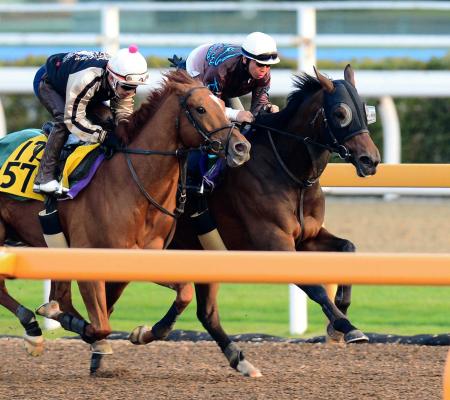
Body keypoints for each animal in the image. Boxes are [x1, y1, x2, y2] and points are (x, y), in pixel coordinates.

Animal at [0, 69, 251, 360]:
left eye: (222, 105)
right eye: (200, 109)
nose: (241, 147)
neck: (131, 184)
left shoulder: (141, 256)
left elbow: (184, 292)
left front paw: (146, 332)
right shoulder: (89, 257)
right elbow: (101, 325)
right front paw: (82, 331)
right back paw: (32, 328)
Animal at [118, 64, 380, 376]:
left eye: (365, 110)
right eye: (340, 113)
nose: (370, 160)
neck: (287, 169)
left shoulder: (307, 238)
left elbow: (348, 249)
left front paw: (339, 318)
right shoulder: (274, 242)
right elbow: (314, 286)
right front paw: (346, 325)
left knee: (205, 313)